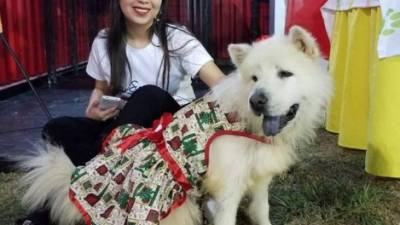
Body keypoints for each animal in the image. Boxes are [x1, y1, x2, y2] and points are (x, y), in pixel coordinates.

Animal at [18, 24, 332, 225]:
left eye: (285, 74)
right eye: (253, 78)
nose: (257, 100)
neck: (245, 121)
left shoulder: (258, 177)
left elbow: (260, 212)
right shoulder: (228, 188)